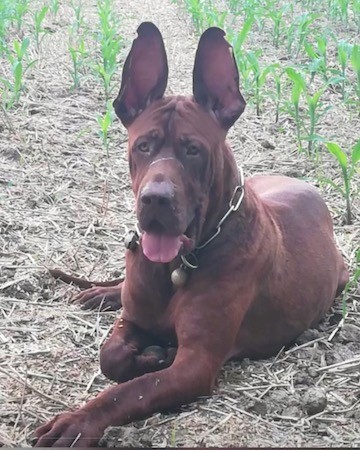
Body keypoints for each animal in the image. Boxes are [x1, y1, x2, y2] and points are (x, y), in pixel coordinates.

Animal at [33, 23, 348, 446]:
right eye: (143, 146)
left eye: (193, 150)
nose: (155, 200)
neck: (179, 263)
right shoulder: (134, 316)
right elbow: (110, 357)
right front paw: (144, 353)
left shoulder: (196, 363)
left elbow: (129, 391)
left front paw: (78, 421)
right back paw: (101, 294)